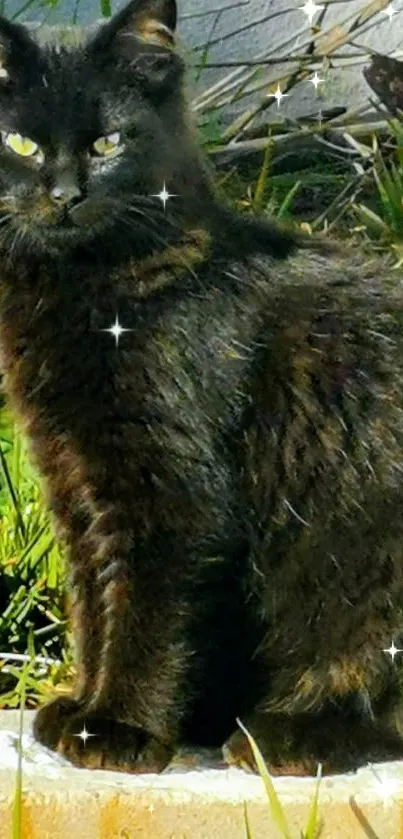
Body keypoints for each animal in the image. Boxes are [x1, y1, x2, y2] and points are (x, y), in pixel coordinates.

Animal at [0, 0, 403, 776]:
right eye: (20, 144)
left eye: (108, 142)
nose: (64, 197)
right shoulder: (74, 476)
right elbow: (93, 600)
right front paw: (83, 705)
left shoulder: (170, 486)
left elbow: (145, 611)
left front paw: (117, 727)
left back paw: (284, 734)